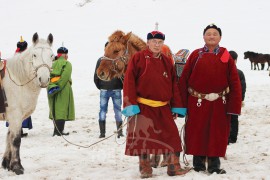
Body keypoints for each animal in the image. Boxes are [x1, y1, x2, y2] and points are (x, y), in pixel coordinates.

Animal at [1, 32, 54, 174]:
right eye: (34, 55)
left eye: (51, 55)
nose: (44, 79)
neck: (18, 79)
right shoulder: (15, 115)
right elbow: (15, 140)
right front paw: (17, 166)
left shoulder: (15, 117)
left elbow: (9, 137)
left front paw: (6, 164)